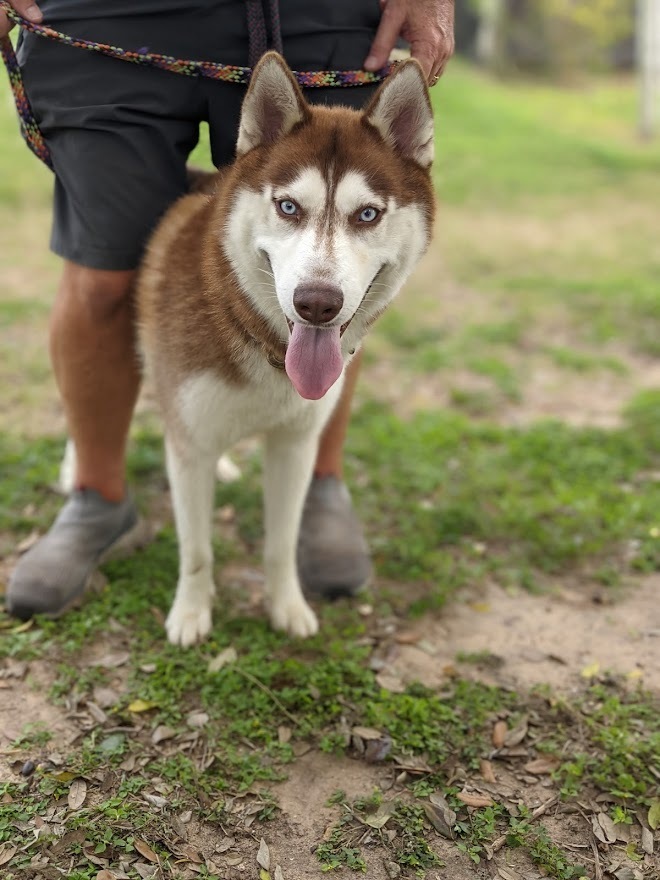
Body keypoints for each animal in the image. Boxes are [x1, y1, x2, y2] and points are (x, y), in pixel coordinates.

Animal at [137, 53, 436, 648]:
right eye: (289, 206)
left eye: (368, 215)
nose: (317, 303)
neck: (261, 340)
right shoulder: (189, 441)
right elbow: (197, 548)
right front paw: (190, 614)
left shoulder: (296, 446)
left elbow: (280, 543)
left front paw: (286, 607)